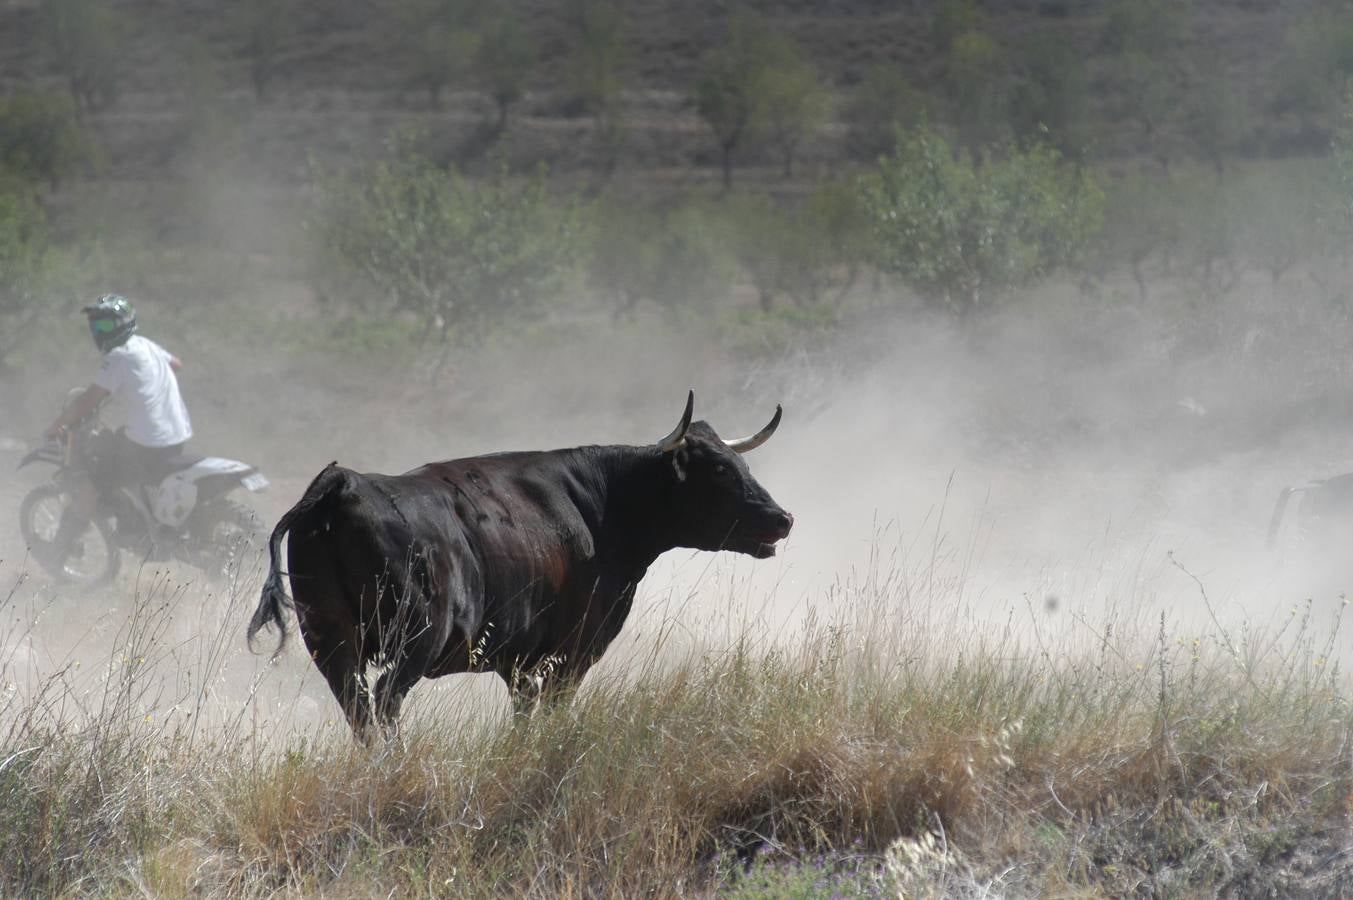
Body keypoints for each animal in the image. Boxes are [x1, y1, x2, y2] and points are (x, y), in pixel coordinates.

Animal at [247, 392, 790, 736]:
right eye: (719, 469)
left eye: (740, 463)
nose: (782, 519)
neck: (601, 504)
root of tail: (344, 483)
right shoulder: (572, 650)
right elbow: (549, 712)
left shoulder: (518, 659)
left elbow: (524, 715)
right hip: (415, 637)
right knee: (384, 702)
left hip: (330, 641)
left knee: (357, 707)